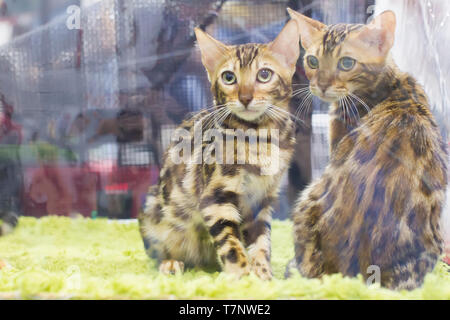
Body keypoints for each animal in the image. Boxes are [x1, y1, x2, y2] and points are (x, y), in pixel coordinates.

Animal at [139, 20, 300, 280]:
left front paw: (264, 274)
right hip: (153, 211)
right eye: (228, 77)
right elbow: (231, 244)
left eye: (264, 75)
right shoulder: (216, 197)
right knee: (158, 250)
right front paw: (242, 276)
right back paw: (170, 263)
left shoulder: (262, 199)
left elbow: (261, 241)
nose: (245, 97)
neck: (259, 136)